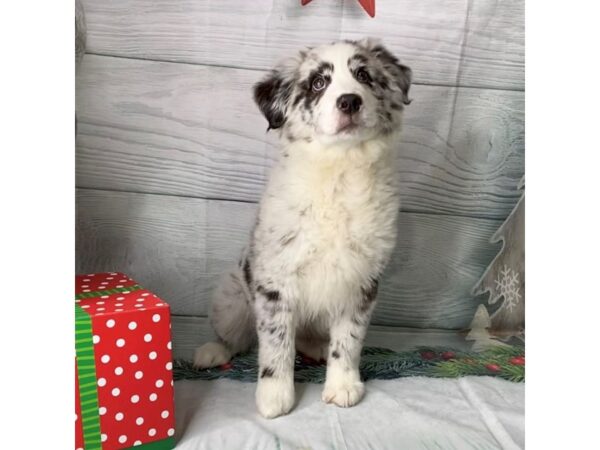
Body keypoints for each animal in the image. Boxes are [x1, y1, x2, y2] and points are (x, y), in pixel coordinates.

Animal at [195, 38, 410, 418]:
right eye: (318, 83)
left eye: (364, 75)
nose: (349, 101)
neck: (339, 172)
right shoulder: (275, 282)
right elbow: (276, 344)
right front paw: (274, 395)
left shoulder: (360, 281)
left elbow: (349, 340)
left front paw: (343, 386)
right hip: (230, 299)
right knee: (236, 337)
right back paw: (213, 351)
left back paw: (317, 349)